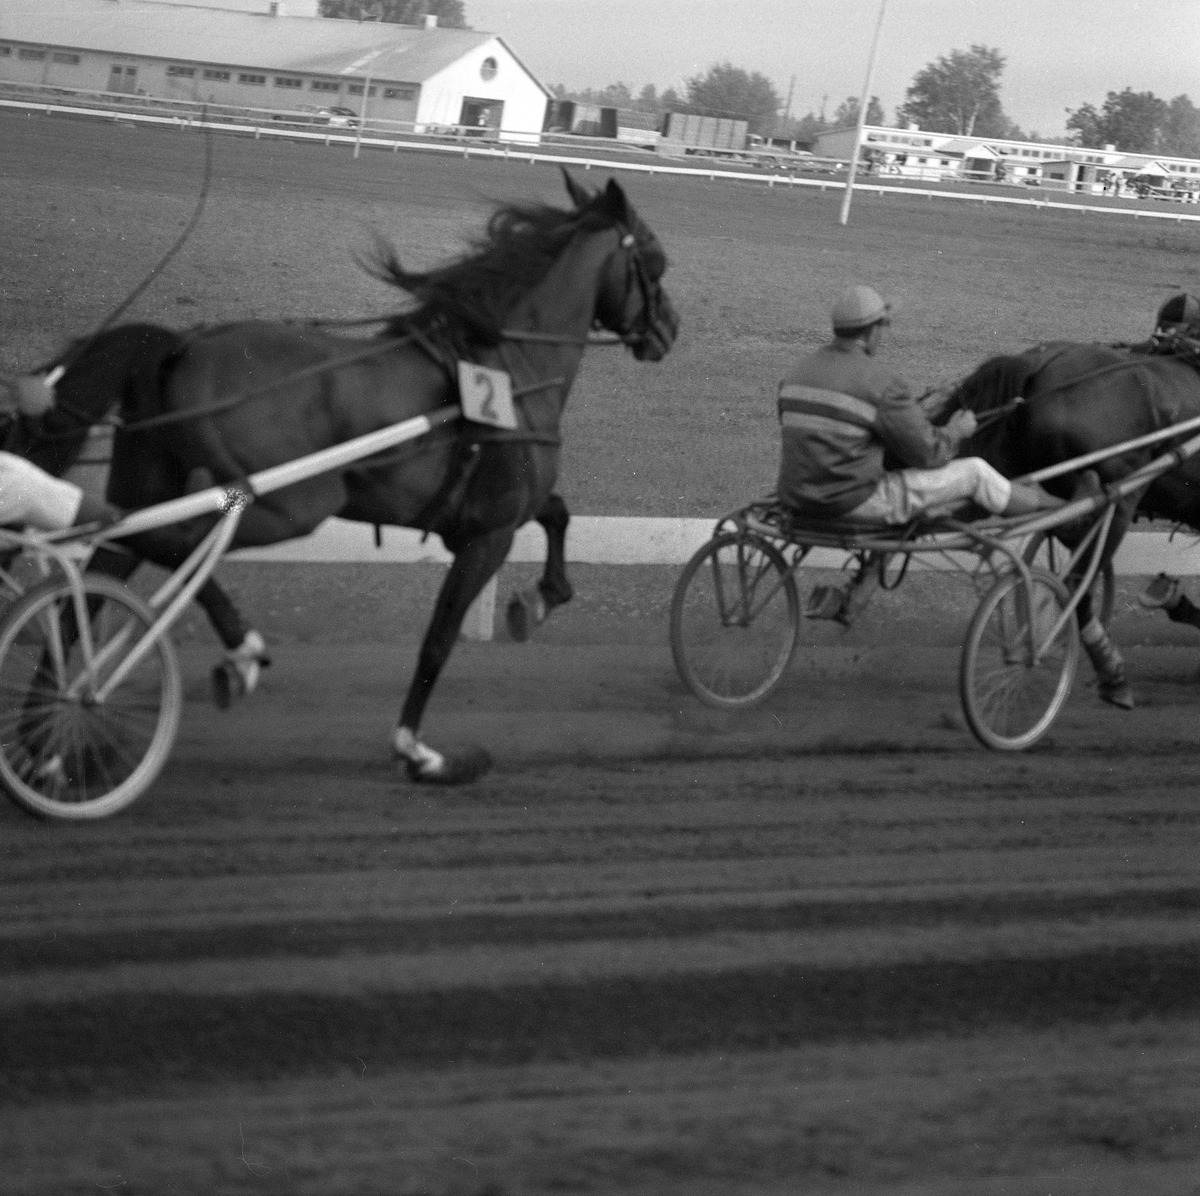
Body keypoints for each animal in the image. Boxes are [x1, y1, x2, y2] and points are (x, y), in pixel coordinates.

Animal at [32, 172, 681, 777]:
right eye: (654, 259)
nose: (669, 329)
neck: (507, 368)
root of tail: (180, 347)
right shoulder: (488, 535)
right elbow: (438, 641)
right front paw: (415, 749)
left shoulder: (496, 511)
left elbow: (558, 513)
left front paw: (542, 597)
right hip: (285, 504)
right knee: (162, 542)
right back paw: (238, 652)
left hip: (153, 483)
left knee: (101, 567)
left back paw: (51, 740)